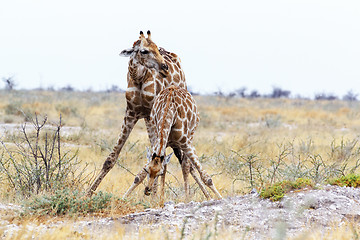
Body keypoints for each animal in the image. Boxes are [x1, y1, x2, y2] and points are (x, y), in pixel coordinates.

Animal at [87, 30, 210, 199]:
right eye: (144, 51)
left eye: (157, 49)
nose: (164, 68)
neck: (139, 78)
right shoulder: (131, 113)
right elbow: (111, 158)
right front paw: (88, 193)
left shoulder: (152, 114)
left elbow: (158, 156)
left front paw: (153, 194)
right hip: (150, 119)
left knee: (184, 161)